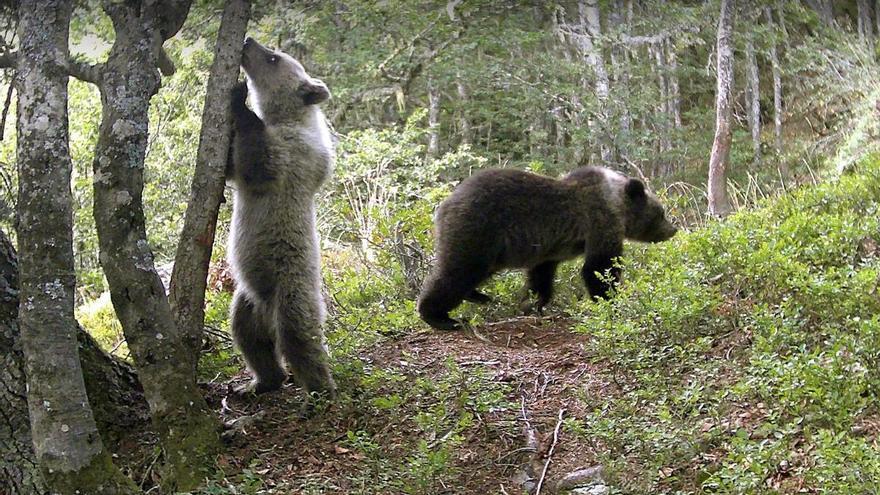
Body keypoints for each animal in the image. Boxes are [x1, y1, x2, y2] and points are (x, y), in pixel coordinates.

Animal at [226, 37, 336, 398]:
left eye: (274, 58)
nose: (249, 41)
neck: (286, 117)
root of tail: (266, 313)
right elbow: (234, 165)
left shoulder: (294, 155)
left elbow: (259, 161)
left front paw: (240, 99)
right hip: (246, 300)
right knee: (250, 339)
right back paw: (258, 382)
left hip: (291, 286)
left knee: (300, 337)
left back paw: (320, 389)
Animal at [417, 166, 678, 330]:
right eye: (661, 212)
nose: (673, 229)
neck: (617, 204)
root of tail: (443, 205)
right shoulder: (601, 222)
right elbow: (598, 268)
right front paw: (610, 300)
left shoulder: (550, 250)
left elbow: (541, 275)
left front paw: (534, 303)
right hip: (478, 229)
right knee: (459, 270)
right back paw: (440, 317)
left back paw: (478, 296)